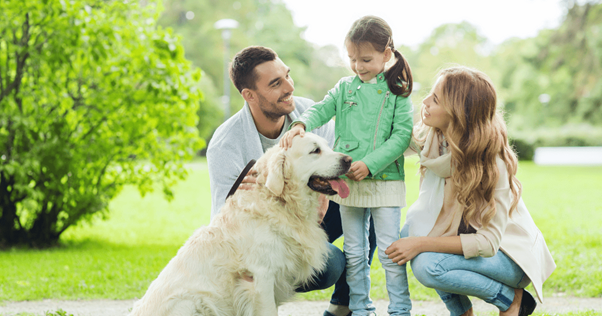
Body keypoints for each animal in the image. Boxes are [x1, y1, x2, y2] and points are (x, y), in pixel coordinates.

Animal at [129, 133, 350, 316]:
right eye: (315, 150)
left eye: (328, 146)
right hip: (191, 302)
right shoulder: (262, 277)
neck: (281, 203)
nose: (348, 160)